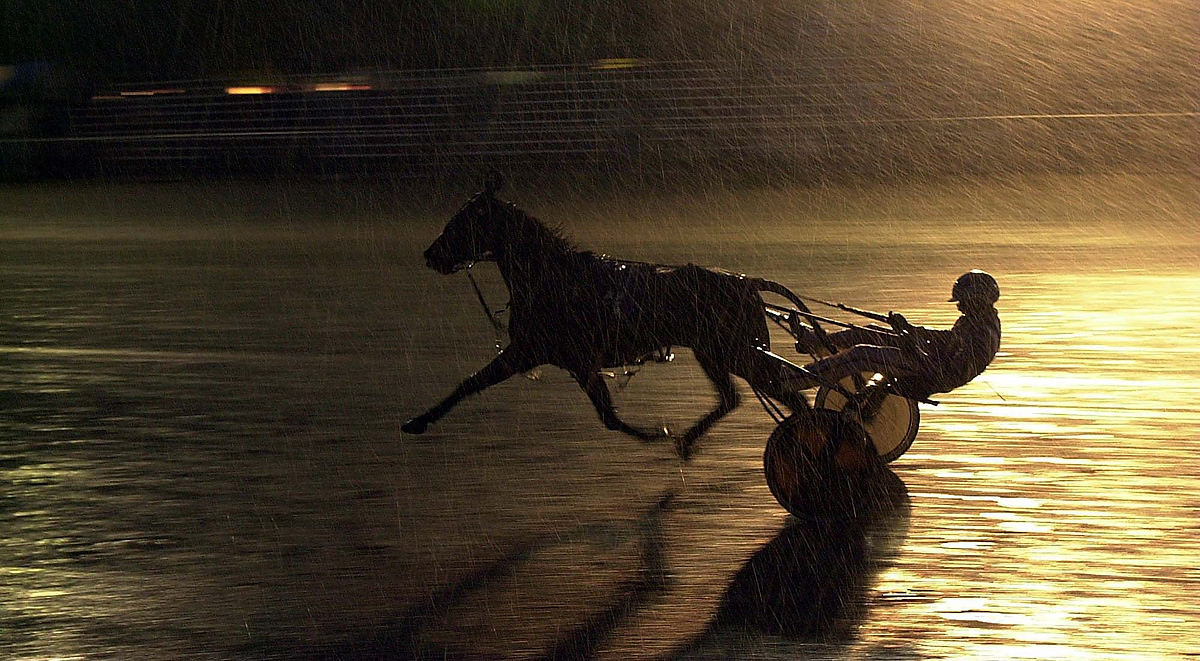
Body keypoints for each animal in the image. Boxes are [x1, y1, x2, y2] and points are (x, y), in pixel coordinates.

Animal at [403, 172, 816, 458]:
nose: (429, 254)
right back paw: (689, 441)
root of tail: (745, 282)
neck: (550, 276)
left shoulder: (529, 351)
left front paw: (418, 421)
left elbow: (470, 383)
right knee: (737, 397)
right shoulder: (576, 362)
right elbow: (609, 417)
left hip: (736, 351)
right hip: (715, 352)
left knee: (788, 395)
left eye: (459, 223)